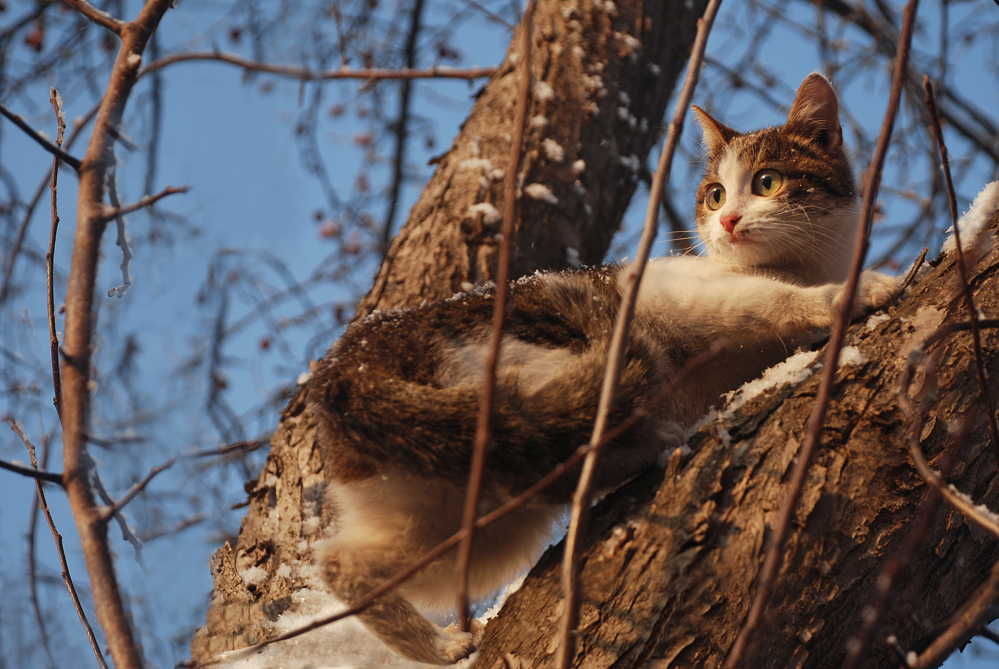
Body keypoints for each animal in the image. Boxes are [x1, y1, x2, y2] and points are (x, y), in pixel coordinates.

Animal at [304, 74, 900, 664]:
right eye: (715, 194)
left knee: (343, 563)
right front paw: (857, 290)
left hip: (454, 513)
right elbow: (769, 301)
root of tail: (346, 368)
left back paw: (436, 644)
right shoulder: (680, 291)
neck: (797, 265)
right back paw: (649, 440)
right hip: (529, 359)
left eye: (768, 182)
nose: (728, 220)